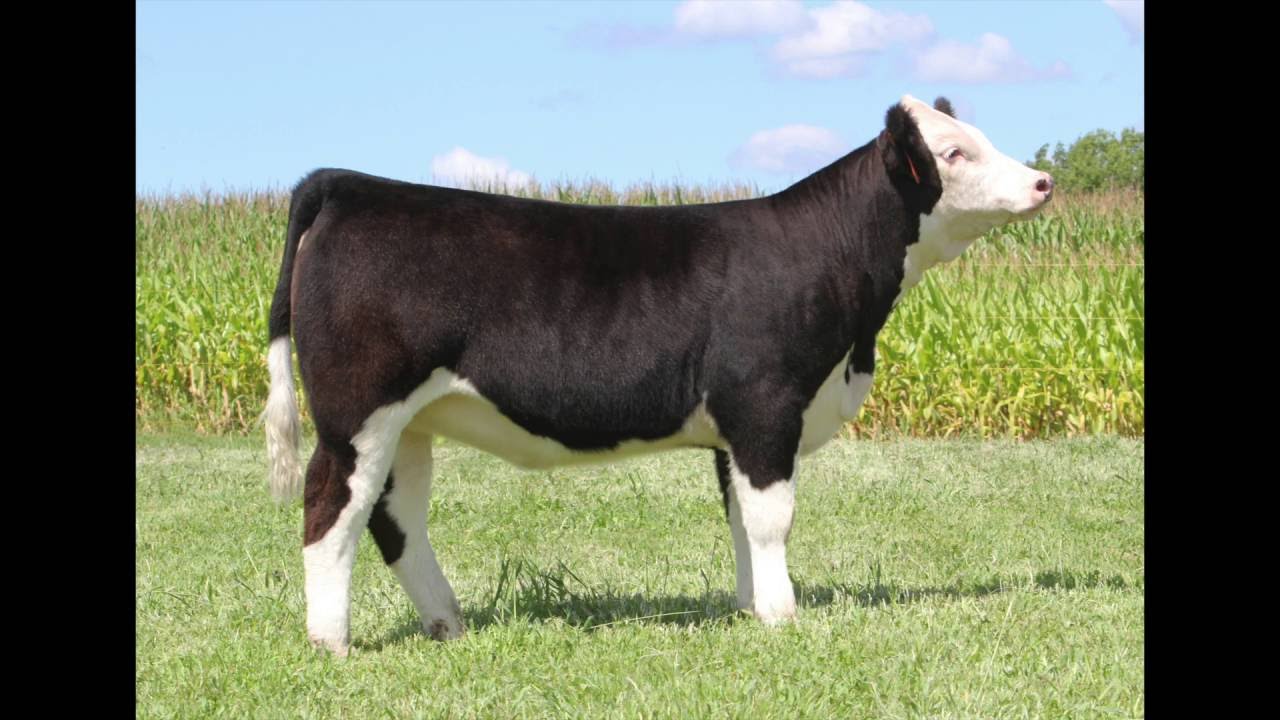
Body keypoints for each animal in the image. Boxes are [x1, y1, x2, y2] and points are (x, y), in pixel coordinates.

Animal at [263, 95, 1053, 655]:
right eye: (954, 151)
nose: (1043, 181)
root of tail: (347, 184)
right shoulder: (766, 405)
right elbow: (772, 518)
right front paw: (784, 615)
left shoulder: (734, 429)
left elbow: (739, 519)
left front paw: (750, 608)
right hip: (359, 413)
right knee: (330, 506)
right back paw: (331, 641)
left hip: (413, 423)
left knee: (396, 518)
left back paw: (446, 622)